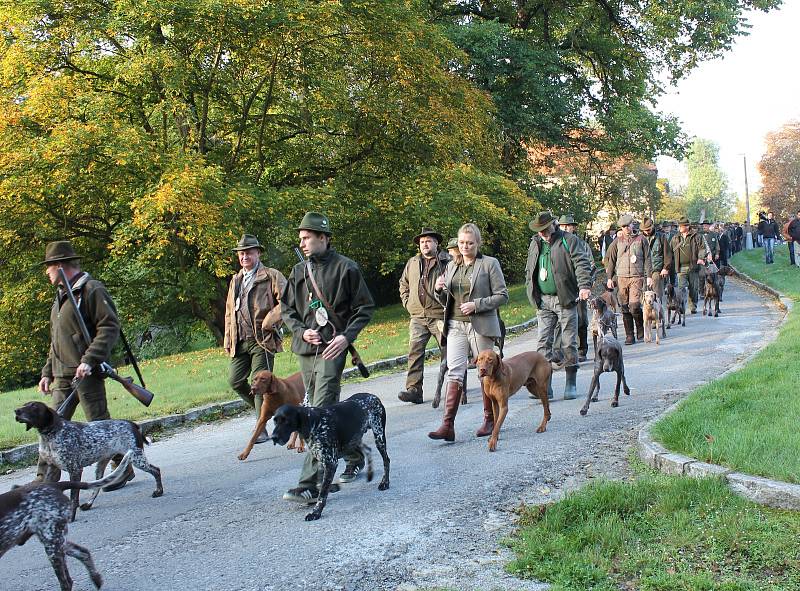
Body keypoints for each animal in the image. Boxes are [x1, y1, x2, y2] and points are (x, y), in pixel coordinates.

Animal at [0, 450, 131, 588]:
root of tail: (55, 485)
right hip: (57, 542)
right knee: (83, 553)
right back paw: (96, 579)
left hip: (52, 544)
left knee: (67, 581)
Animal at [14, 402, 162, 524]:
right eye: (25, 404)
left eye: (34, 406)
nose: (16, 411)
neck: (50, 435)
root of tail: (133, 424)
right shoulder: (51, 469)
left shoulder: (75, 470)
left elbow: (73, 498)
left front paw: (70, 517)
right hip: (102, 465)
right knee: (97, 487)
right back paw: (89, 504)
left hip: (137, 458)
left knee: (156, 470)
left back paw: (159, 491)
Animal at [270, 394, 392, 524]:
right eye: (275, 420)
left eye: (286, 420)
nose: (273, 437)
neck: (314, 422)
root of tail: (373, 396)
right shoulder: (321, 460)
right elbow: (320, 484)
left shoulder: (331, 463)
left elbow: (323, 492)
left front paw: (316, 512)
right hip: (352, 440)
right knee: (368, 450)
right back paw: (370, 474)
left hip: (378, 437)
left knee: (386, 460)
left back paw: (385, 483)